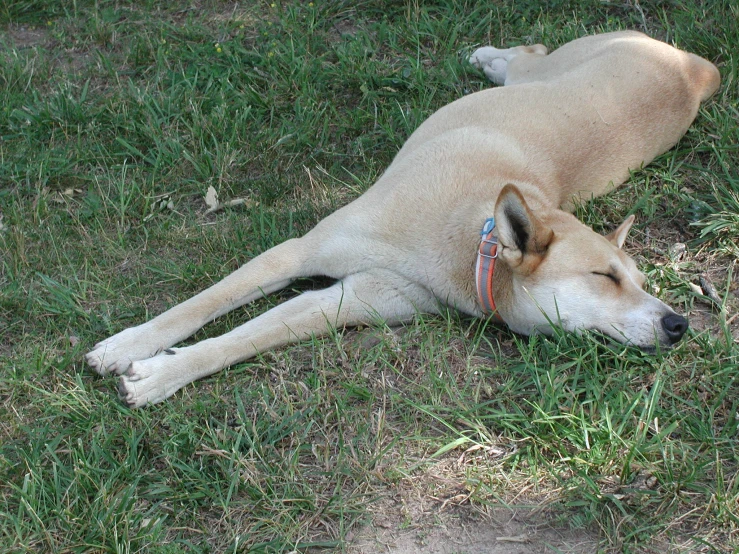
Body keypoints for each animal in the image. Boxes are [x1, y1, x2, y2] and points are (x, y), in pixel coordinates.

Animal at [85, 30, 716, 406]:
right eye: (604, 277)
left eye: (643, 281)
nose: (678, 324)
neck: (466, 242)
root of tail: (690, 68)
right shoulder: (300, 249)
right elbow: (200, 305)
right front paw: (126, 345)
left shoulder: (353, 300)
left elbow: (247, 336)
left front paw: (163, 373)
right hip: (548, 70)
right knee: (531, 55)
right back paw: (491, 58)